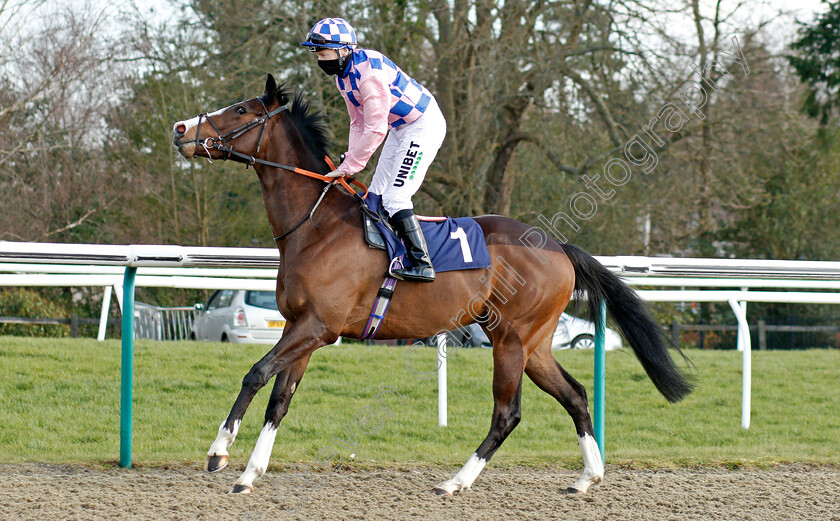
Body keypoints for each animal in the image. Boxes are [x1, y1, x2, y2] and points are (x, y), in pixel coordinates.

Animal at [171, 74, 696, 496]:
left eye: (241, 109)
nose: (180, 130)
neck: (317, 227)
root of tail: (558, 246)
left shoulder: (318, 327)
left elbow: (256, 374)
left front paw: (219, 451)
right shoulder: (300, 327)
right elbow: (280, 399)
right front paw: (249, 474)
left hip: (511, 339)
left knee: (508, 414)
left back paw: (455, 482)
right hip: (536, 343)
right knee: (576, 396)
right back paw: (587, 477)